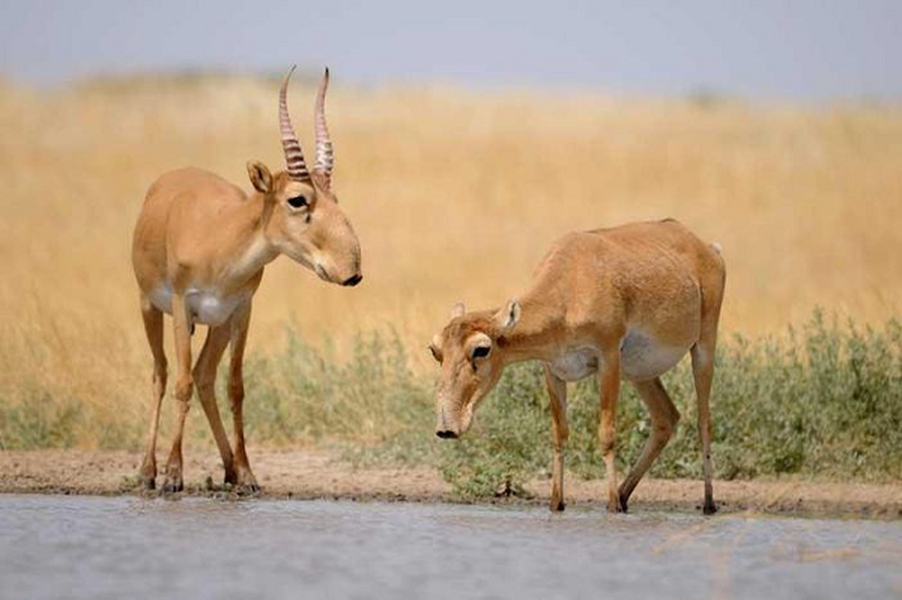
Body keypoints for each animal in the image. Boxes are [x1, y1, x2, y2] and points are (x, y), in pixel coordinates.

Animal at [132, 65, 364, 492]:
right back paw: (148, 471)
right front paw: (173, 475)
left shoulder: (241, 310)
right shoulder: (182, 305)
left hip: (218, 324)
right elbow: (181, 384)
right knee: (162, 374)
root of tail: (170, 178)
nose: (350, 271)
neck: (219, 238)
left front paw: (248, 474)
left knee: (206, 377)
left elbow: (235, 387)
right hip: (149, 307)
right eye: (297, 199)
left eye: (334, 198)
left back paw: (229, 469)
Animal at [430, 220, 728, 516]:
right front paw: (557, 504)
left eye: (481, 349)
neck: (571, 283)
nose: (446, 427)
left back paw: (708, 503)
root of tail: (708, 248)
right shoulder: (552, 369)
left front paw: (611, 506)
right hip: (640, 373)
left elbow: (606, 434)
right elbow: (559, 433)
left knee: (704, 421)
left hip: (703, 347)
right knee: (666, 417)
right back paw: (624, 494)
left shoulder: (608, 358)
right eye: (435, 350)